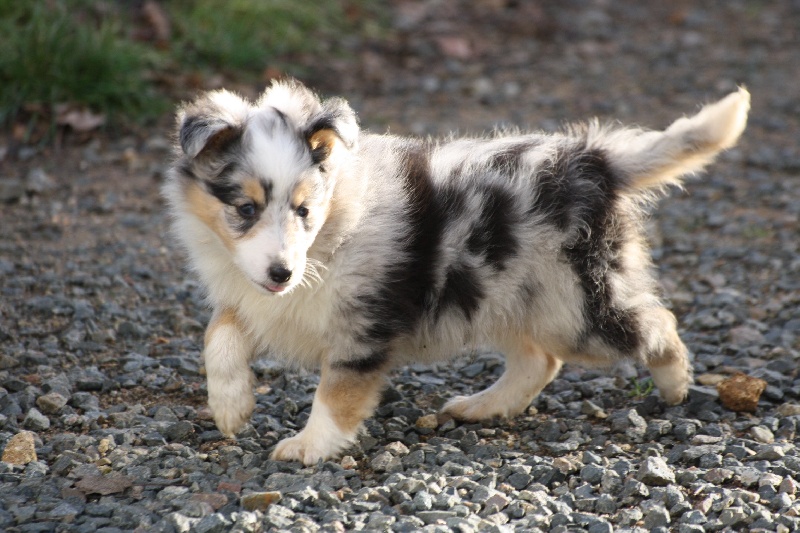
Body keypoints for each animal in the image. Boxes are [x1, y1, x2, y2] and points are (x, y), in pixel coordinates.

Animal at [162, 81, 752, 464]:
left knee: (655, 324)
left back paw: (676, 385)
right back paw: (482, 407)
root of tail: (594, 160)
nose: (283, 273)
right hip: (507, 295)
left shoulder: (362, 327)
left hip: (577, 306)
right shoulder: (256, 298)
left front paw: (309, 447)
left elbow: (337, 393)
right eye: (245, 209)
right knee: (539, 360)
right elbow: (219, 335)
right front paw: (230, 408)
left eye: (305, 209)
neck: (331, 234)